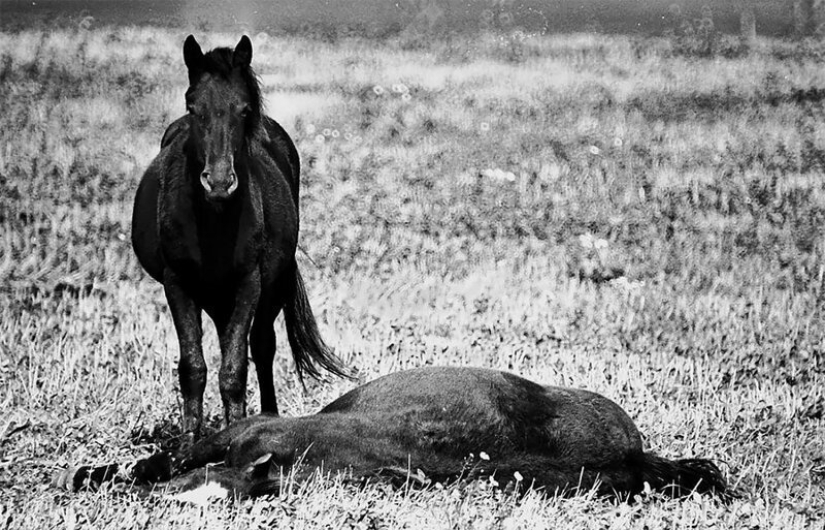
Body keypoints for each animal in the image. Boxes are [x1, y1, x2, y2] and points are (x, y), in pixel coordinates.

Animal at [131, 35, 348, 436]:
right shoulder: (177, 282)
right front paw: (190, 441)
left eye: (244, 110)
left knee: (261, 347)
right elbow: (193, 369)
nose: (218, 182)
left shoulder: (250, 282)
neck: (212, 220)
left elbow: (234, 370)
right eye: (193, 106)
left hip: (264, 288)